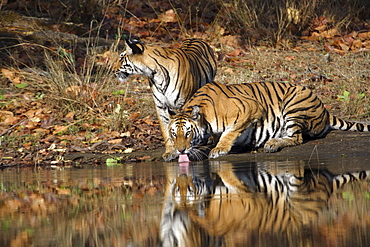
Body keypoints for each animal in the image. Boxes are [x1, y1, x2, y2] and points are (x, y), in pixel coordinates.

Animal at [164, 81, 370, 161]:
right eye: (174, 134)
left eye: (188, 133)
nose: (181, 150)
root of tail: (325, 110)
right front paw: (170, 152)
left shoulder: (249, 108)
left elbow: (229, 132)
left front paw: (219, 149)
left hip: (294, 103)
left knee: (296, 138)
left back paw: (272, 144)